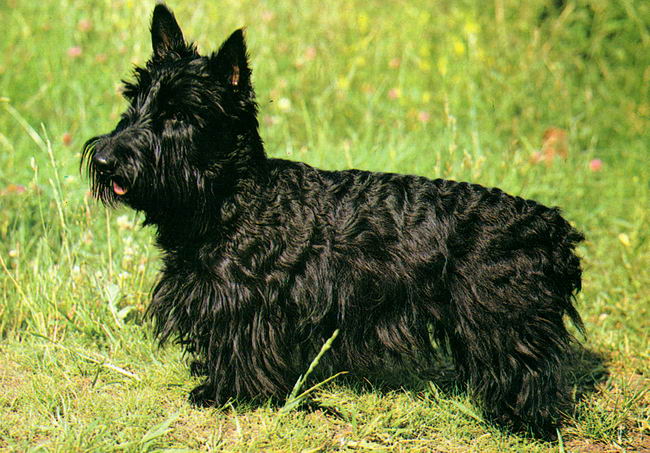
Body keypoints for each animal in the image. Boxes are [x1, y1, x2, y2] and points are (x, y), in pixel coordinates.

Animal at [82, 3, 584, 434]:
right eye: (134, 101)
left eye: (180, 116)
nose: (105, 160)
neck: (233, 200)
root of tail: (552, 229)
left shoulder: (245, 307)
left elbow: (240, 350)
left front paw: (226, 395)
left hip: (503, 319)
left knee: (526, 368)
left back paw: (523, 422)